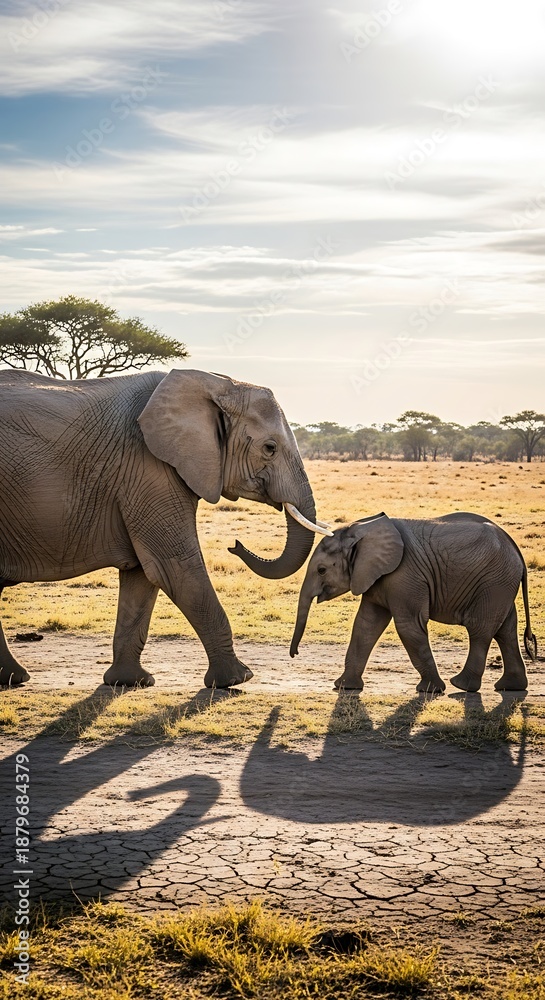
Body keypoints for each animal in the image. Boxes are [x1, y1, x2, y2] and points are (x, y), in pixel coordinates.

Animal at [0, 368, 329, 689]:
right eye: (270, 448)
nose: (235, 545)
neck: (216, 383)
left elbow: (143, 576)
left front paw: (131, 682)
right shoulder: (148, 468)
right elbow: (176, 567)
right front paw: (237, 679)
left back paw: (14, 679)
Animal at [290, 511, 537, 693]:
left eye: (321, 570)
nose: (295, 655)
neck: (360, 529)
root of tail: (516, 551)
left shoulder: (404, 575)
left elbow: (409, 627)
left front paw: (431, 690)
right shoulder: (374, 575)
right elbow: (365, 626)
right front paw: (344, 687)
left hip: (494, 582)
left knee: (480, 629)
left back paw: (461, 685)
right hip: (501, 584)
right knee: (505, 630)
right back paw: (510, 687)